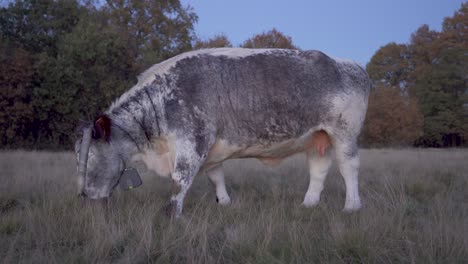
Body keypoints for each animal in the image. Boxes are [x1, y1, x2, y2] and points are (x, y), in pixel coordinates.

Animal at [76, 47, 370, 217]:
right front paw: (225, 203)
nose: (83, 199)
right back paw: (308, 204)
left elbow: (180, 180)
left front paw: (171, 214)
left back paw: (352, 206)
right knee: (318, 169)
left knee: (349, 167)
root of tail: (350, 64)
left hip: (344, 133)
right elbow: (216, 177)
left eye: (90, 161)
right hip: (317, 137)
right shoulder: (210, 149)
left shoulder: (193, 141)